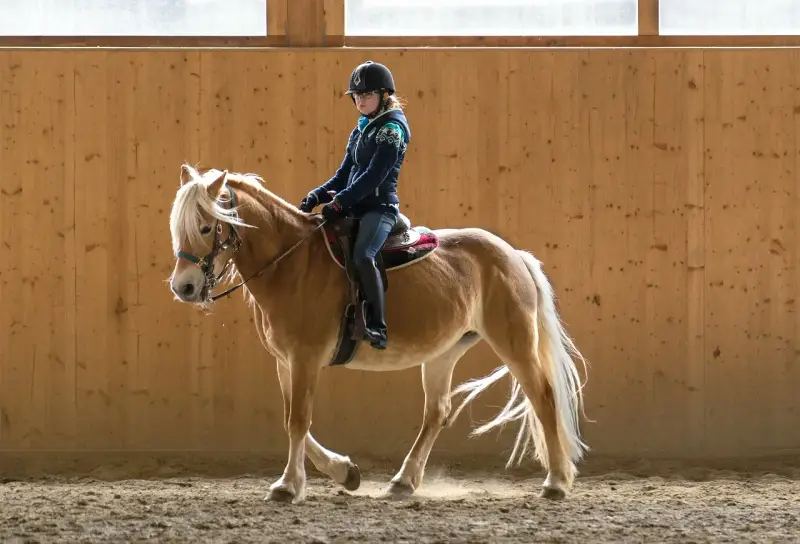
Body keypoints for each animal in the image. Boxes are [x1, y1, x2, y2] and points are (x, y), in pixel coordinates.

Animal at [167, 164, 590, 504]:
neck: (293, 264)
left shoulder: (305, 358)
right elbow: (292, 419)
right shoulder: (285, 362)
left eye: (206, 226)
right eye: (178, 228)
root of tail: (514, 255)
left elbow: (298, 420)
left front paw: (288, 486)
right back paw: (403, 481)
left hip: (514, 342)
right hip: (444, 352)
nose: (183, 287)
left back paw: (556, 482)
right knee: (437, 412)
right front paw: (345, 472)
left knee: (543, 397)